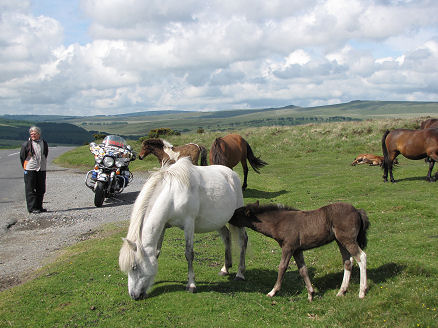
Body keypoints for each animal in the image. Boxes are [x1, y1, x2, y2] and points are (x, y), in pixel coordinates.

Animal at [229, 200, 370, 302]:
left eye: (236, 213)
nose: (228, 219)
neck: (280, 223)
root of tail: (357, 211)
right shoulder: (297, 250)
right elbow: (303, 270)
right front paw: (311, 294)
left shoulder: (288, 247)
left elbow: (282, 267)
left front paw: (272, 292)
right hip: (340, 241)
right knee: (348, 262)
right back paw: (341, 291)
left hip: (347, 239)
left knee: (361, 257)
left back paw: (362, 292)